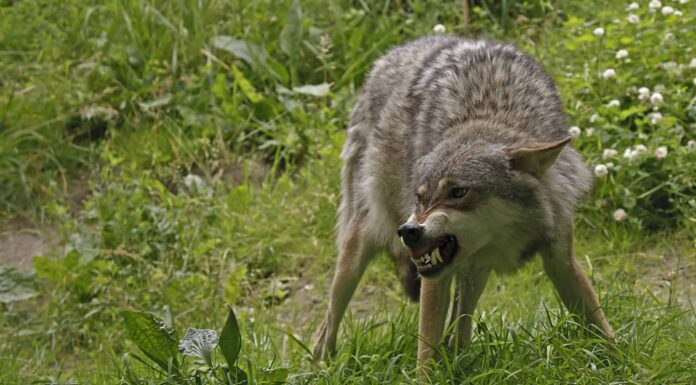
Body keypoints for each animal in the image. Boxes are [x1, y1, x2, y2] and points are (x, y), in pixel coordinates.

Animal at [312, 36, 612, 372]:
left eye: (457, 192)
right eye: (420, 197)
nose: (409, 231)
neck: (492, 113)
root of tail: (387, 57)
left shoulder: (561, 258)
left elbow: (600, 324)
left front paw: (622, 361)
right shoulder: (434, 277)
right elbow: (425, 353)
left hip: (473, 274)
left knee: (460, 330)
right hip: (359, 249)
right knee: (325, 327)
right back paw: (322, 366)